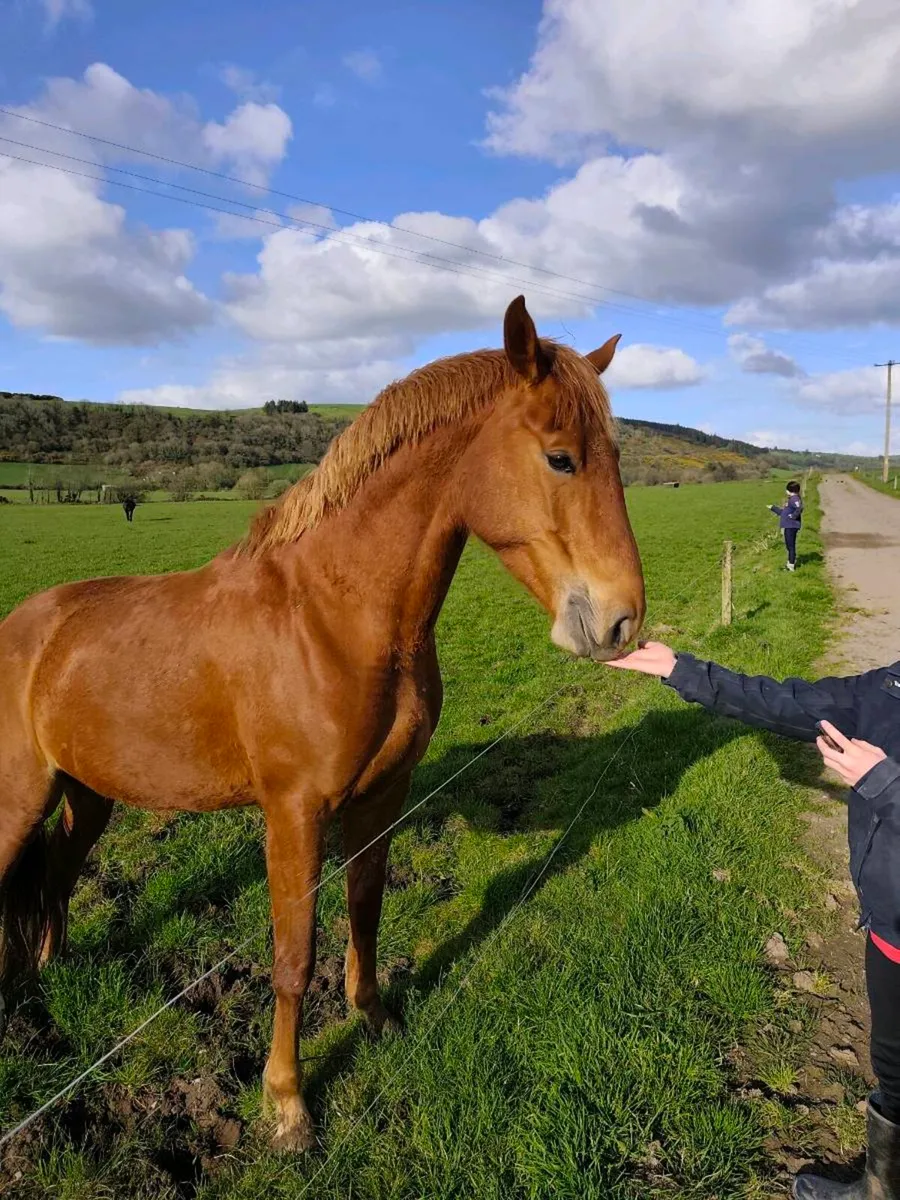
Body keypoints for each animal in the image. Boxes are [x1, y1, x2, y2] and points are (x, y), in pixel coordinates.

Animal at [0, 296, 645, 1151]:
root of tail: (23, 626)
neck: (333, 616)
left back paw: (51, 974)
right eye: (561, 459)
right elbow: (292, 955)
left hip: (86, 797)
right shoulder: (295, 813)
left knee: (55, 880)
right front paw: (287, 1105)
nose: (621, 622)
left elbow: (365, 908)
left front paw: (375, 1017)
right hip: (17, 803)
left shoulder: (380, 798)